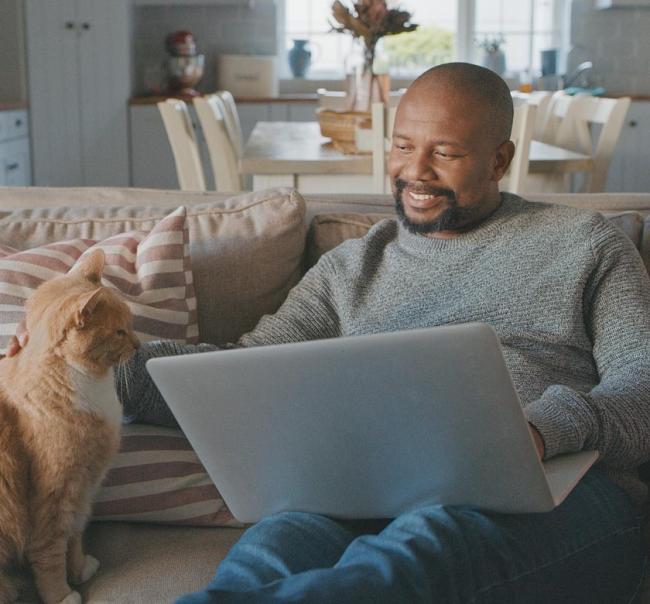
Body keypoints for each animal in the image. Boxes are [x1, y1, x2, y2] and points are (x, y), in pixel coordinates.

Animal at [0, 249, 139, 604]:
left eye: (130, 325)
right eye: (119, 332)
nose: (138, 344)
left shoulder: (83, 490)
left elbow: (75, 536)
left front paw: (79, 569)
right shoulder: (55, 493)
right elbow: (49, 552)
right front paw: (61, 594)